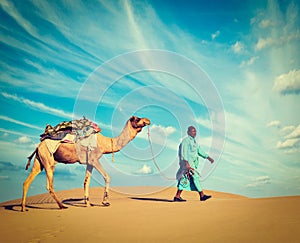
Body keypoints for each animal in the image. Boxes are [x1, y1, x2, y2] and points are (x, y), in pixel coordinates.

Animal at [20, 116, 150, 211]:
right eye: (137, 119)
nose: (148, 120)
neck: (104, 143)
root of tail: (38, 146)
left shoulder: (89, 162)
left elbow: (86, 182)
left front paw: (88, 203)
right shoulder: (94, 159)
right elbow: (107, 177)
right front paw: (105, 202)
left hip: (39, 161)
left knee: (27, 181)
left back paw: (23, 208)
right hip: (48, 160)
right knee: (49, 185)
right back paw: (62, 206)